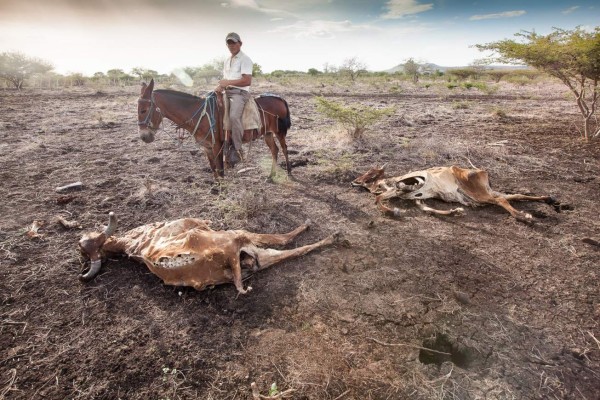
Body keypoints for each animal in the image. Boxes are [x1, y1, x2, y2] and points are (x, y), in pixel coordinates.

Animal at [138, 78, 292, 178]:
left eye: (144, 110)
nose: (144, 137)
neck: (200, 114)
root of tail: (279, 98)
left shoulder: (218, 146)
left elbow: (220, 170)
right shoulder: (207, 147)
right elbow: (213, 170)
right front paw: (217, 189)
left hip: (280, 132)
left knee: (284, 149)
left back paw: (289, 172)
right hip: (267, 133)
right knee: (275, 150)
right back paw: (271, 176)